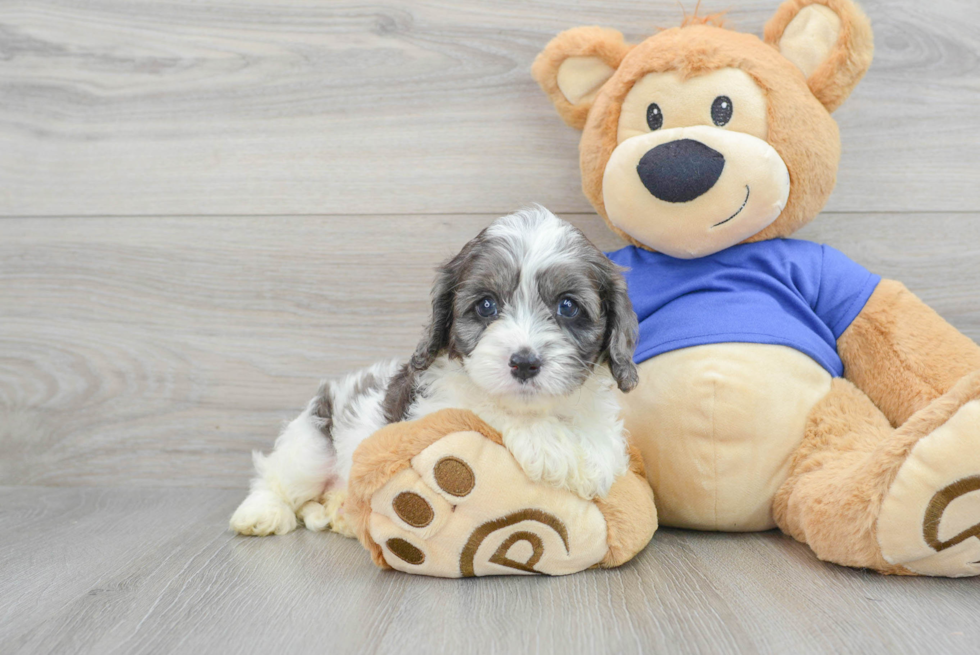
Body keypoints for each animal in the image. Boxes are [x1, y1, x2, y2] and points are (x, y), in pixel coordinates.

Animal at [233, 206, 640, 540]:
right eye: (486, 305)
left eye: (568, 307)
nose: (524, 363)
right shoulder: (429, 416)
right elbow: (484, 408)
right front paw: (554, 449)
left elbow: (604, 441)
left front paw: (591, 459)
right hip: (311, 445)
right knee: (276, 478)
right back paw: (262, 513)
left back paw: (339, 514)